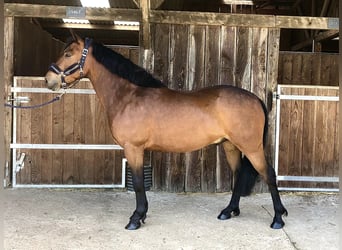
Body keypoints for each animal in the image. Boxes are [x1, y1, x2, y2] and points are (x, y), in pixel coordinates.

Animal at [44, 33, 288, 230]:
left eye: (68, 54)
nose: (49, 79)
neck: (128, 96)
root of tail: (255, 98)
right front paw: (141, 216)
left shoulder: (133, 149)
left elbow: (139, 184)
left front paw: (136, 218)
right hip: (230, 146)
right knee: (239, 175)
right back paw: (229, 211)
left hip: (251, 147)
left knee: (269, 174)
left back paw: (277, 218)